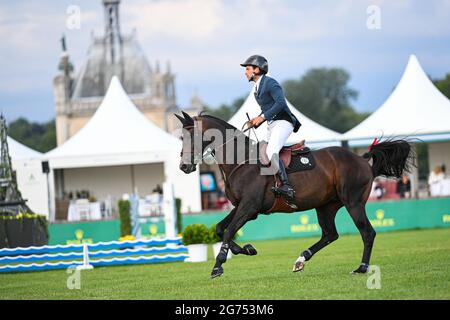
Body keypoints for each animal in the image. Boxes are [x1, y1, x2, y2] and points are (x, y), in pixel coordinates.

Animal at [175, 111, 414, 278]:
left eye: (192, 136)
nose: (184, 167)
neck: (241, 161)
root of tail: (362, 160)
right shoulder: (242, 207)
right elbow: (220, 229)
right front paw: (247, 249)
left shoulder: (249, 207)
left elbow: (228, 231)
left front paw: (218, 266)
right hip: (326, 206)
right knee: (330, 234)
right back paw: (301, 259)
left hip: (353, 203)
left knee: (367, 233)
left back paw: (362, 268)